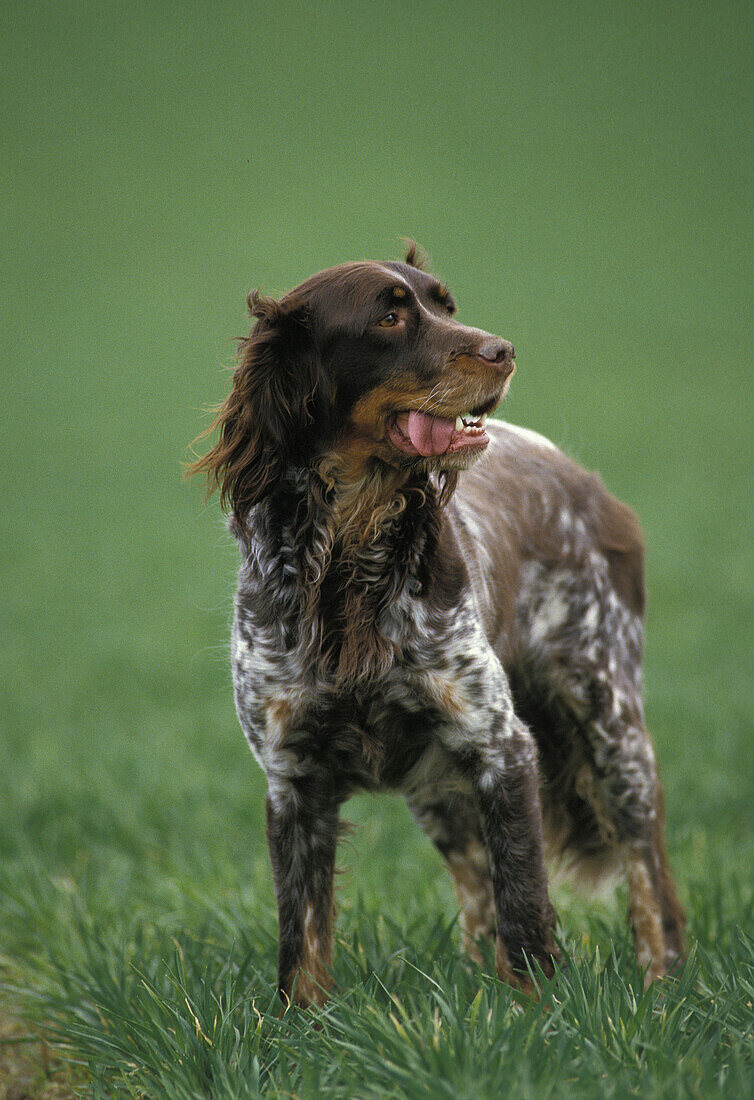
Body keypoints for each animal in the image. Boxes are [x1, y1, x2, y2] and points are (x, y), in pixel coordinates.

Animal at [191, 247, 686, 1007]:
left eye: (446, 306)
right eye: (389, 317)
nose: (503, 351)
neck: (349, 554)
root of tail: (581, 476)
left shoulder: (501, 748)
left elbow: (525, 904)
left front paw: (535, 1015)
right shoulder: (292, 778)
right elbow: (301, 938)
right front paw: (302, 1024)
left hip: (611, 728)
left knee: (649, 878)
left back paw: (663, 992)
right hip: (437, 790)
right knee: (477, 889)